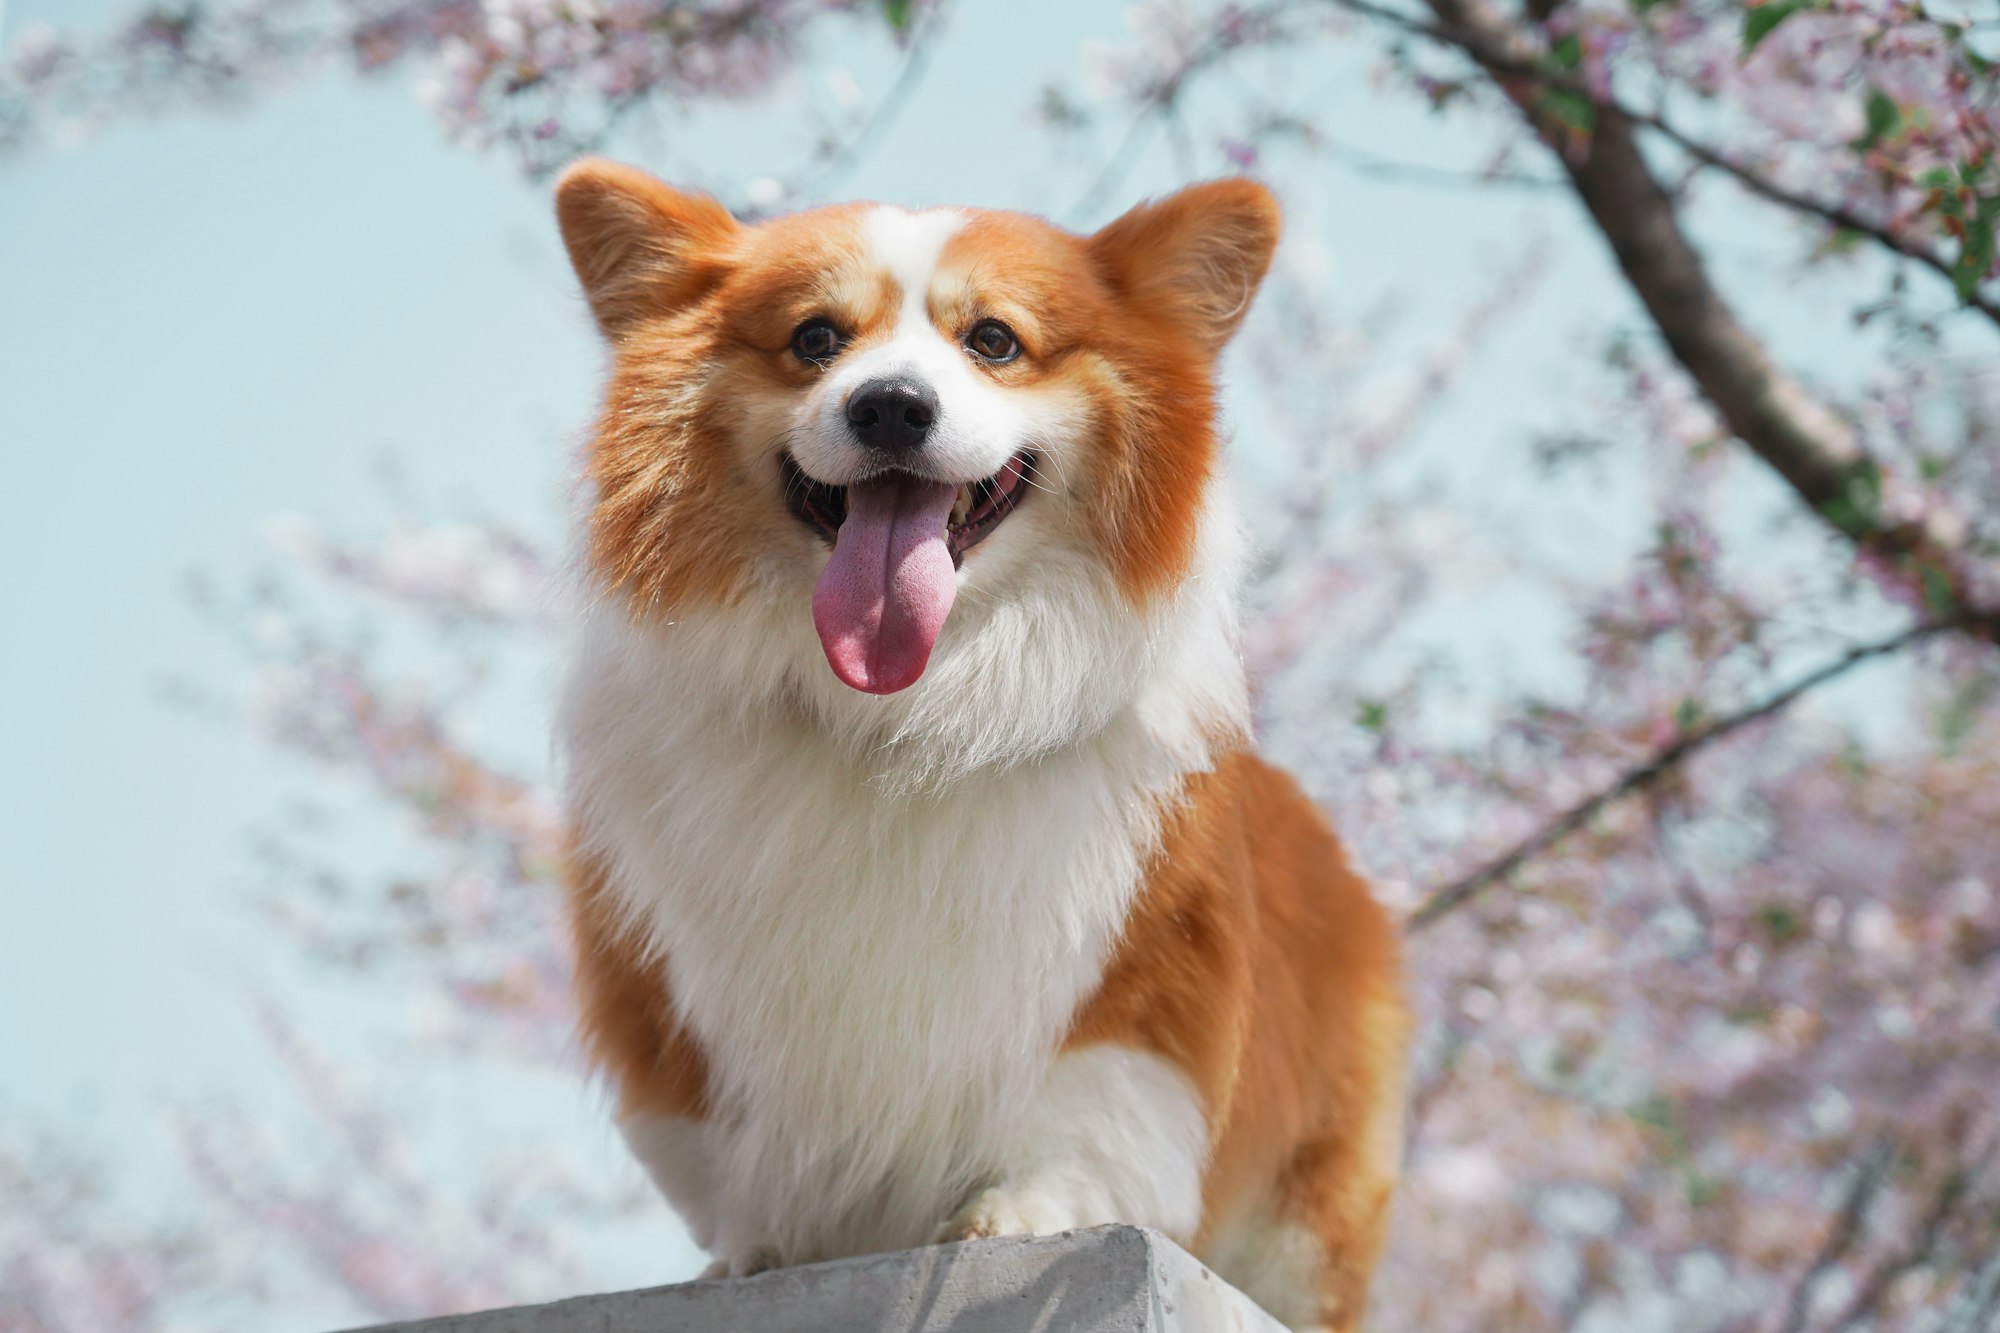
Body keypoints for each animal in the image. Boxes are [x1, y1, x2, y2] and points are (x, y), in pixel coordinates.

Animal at [552, 158, 1408, 1328]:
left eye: (993, 339)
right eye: (815, 338)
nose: (890, 405)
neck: (900, 712)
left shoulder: (1136, 977)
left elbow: (1080, 1113)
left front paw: (1019, 1214)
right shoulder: (678, 1001)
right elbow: (739, 1159)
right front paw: (754, 1253)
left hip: (1305, 1216)